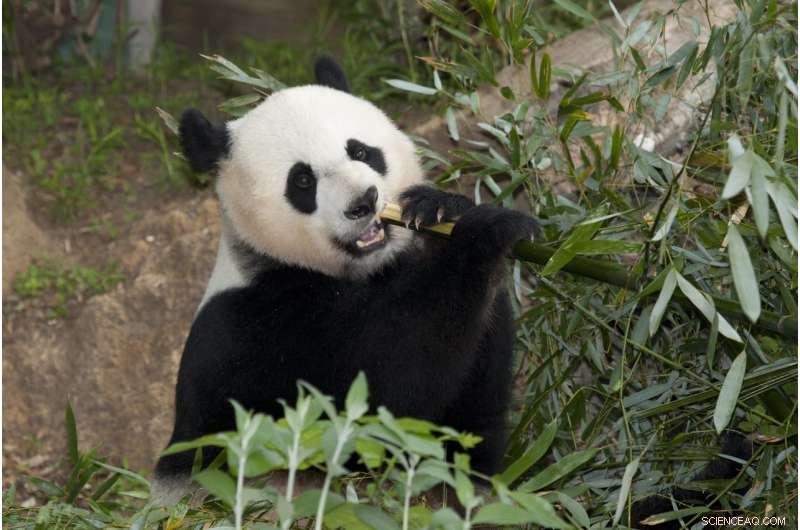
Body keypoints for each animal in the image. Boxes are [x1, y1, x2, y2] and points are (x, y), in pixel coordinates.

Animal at [152, 56, 538, 500]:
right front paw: (484, 233)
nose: (364, 202)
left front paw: (437, 208)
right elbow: (388, 389)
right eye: (303, 180)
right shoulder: (258, 332)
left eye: (360, 151)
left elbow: (471, 419)